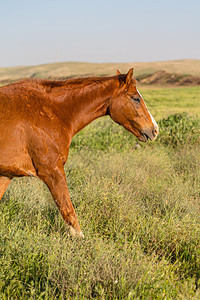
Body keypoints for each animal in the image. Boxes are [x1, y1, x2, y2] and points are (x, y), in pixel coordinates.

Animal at [0, 68, 159, 237]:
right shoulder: (52, 171)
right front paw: (80, 239)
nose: (155, 129)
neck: (51, 113)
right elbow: (68, 210)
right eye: (136, 99)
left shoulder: (7, 174)